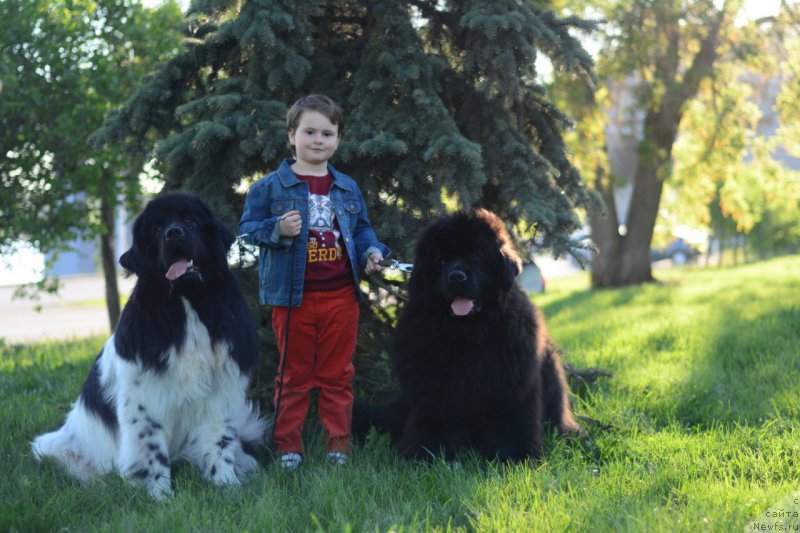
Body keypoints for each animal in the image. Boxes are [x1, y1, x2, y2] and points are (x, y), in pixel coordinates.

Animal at [33, 192, 266, 498]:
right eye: (156, 229)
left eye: (191, 220)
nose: (173, 233)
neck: (186, 303)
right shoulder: (144, 400)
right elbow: (150, 451)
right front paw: (160, 496)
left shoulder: (221, 393)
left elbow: (219, 443)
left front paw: (226, 486)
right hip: (58, 446)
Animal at [362, 210, 580, 460]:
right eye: (442, 260)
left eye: (475, 256)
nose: (456, 276)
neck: (467, 332)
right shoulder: (432, 392)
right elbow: (432, 421)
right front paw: (424, 454)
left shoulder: (512, 387)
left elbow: (512, 422)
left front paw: (516, 455)